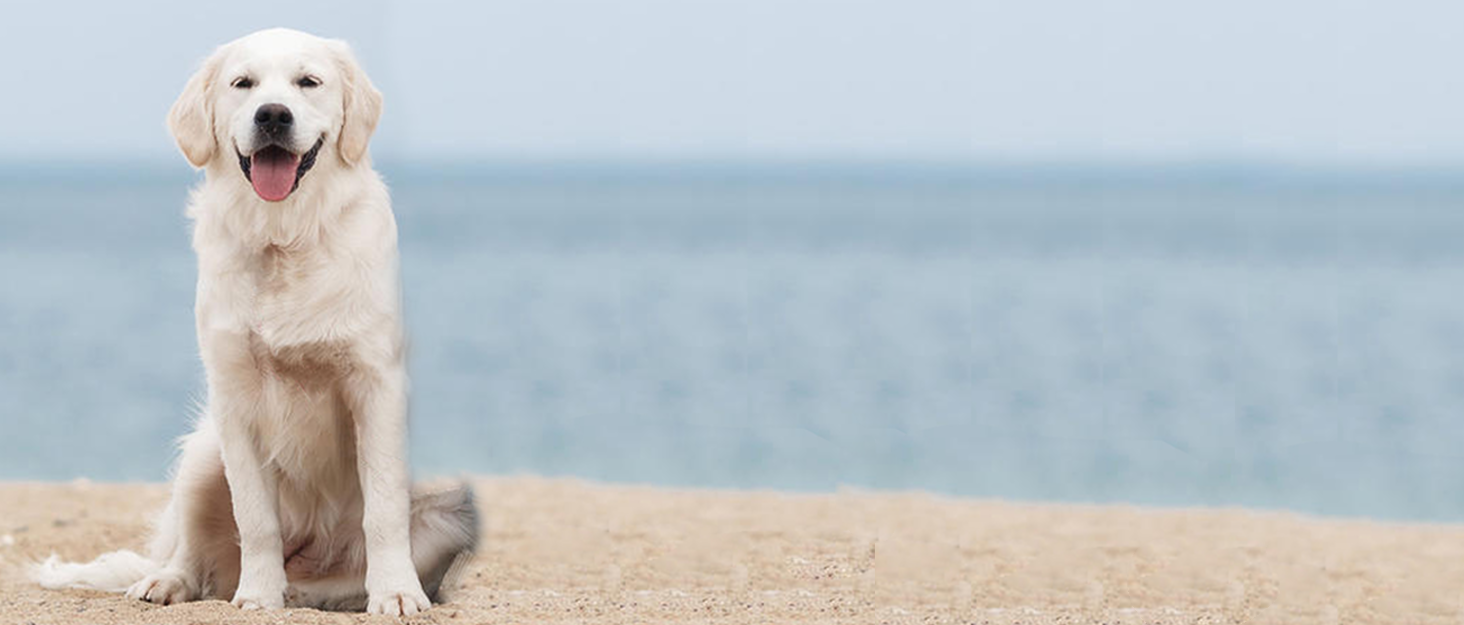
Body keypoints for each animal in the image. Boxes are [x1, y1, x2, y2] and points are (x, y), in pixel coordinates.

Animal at [30, 28, 474, 617]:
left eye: (309, 82)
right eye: (243, 83)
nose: (273, 116)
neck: (284, 236)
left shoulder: (375, 387)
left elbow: (382, 511)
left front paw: (397, 594)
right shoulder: (235, 397)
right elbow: (255, 517)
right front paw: (259, 596)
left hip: (448, 510)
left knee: (337, 579)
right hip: (202, 455)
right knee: (193, 553)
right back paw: (170, 581)